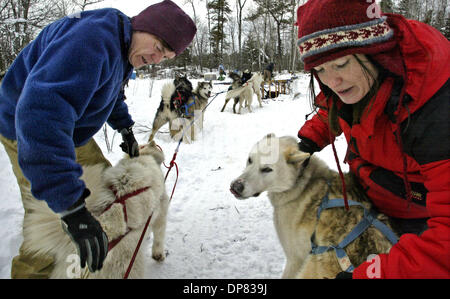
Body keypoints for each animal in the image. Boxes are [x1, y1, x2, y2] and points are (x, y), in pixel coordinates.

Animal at [21, 142, 169, 278]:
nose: (153, 142)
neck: (143, 157)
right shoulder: (161, 212)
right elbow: (159, 236)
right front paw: (158, 254)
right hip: (130, 268)